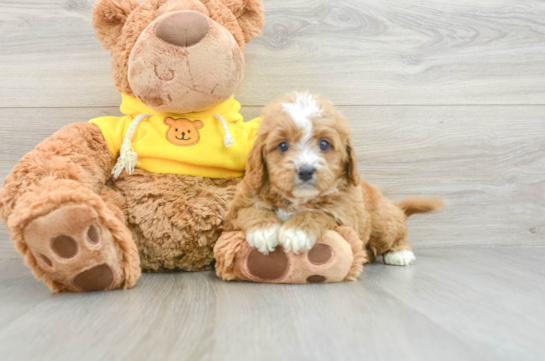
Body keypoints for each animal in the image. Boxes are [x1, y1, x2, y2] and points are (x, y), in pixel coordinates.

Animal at [225, 90, 442, 264]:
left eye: (324, 144)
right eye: (283, 146)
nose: (305, 170)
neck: (297, 201)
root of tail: (394, 207)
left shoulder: (346, 217)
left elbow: (319, 213)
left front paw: (296, 232)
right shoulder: (236, 208)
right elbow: (251, 210)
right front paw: (263, 231)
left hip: (382, 222)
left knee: (397, 233)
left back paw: (400, 253)